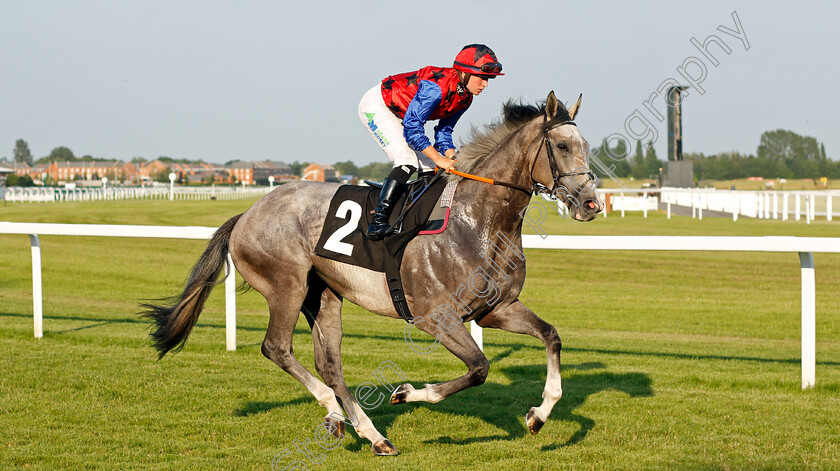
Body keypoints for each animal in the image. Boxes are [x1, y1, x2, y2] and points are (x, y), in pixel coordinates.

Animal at [146, 90, 604, 456]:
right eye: (563, 145)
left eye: (586, 144)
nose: (591, 205)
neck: (480, 223)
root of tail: (246, 214)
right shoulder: (435, 317)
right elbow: (478, 368)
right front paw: (406, 392)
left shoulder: (496, 309)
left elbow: (551, 336)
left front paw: (539, 414)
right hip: (286, 285)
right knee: (277, 348)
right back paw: (345, 417)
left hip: (324, 294)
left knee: (329, 363)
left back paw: (363, 430)